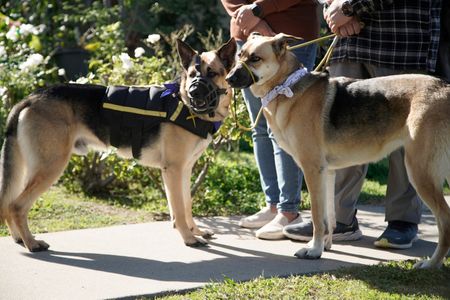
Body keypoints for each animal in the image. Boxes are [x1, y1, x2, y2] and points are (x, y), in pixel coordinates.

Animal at [0, 38, 237, 252]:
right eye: (192, 75)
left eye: (212, 73)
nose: (194, 92)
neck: (184, 105)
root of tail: (31, 97)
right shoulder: (173, 170)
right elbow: (178, 209)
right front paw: (189, 239)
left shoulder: (186, 170)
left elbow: (187, 205)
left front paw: (195, 231)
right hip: (50, 166)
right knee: (16, 205)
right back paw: (32, 243)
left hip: (35, 169)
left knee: (11, 204)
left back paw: (20, 238)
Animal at [227, 33, 450, 270]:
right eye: (240, 55)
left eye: (255, 58)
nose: (228, 79)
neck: (287, 85)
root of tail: (445, 89)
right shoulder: (327, 173)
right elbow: (328, 217)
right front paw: (323, 246)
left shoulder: (312, 170)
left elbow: (317, 216)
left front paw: (313, 250)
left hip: (419, 172)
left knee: (445, 221)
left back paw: (432, 263)